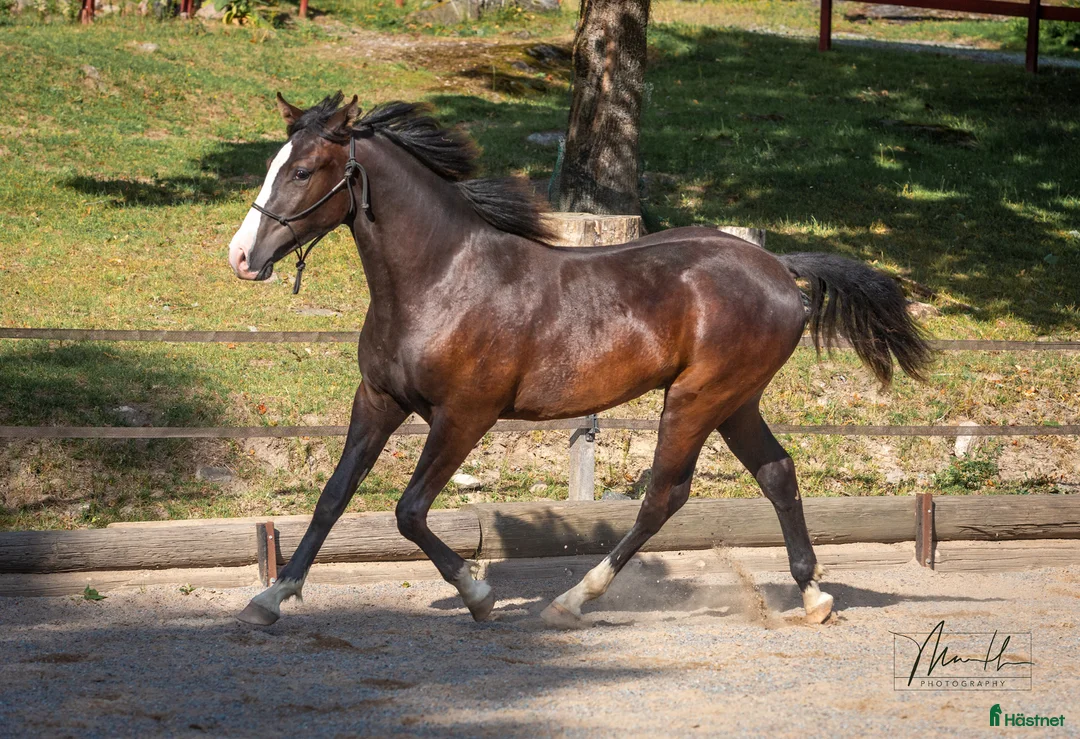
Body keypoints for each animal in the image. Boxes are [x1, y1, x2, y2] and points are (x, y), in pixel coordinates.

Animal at [229, 93, 931, 629]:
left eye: (303, 172)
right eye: (273, 164)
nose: (241, 256)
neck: (440, 280)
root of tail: (780, 268)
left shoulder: (465, 415)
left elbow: (409, 510)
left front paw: (479, 595)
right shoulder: (378, 400)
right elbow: (333, 498)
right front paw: (270, 598)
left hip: (696, 399)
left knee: (663, 497)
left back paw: (571, 601)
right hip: (736, 402)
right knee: (778, 474)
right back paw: (814, 597)